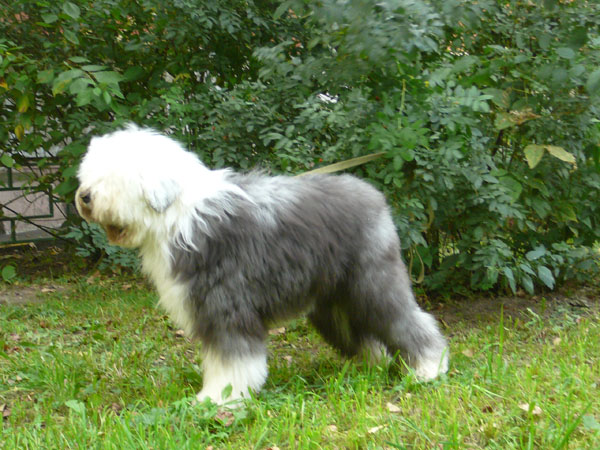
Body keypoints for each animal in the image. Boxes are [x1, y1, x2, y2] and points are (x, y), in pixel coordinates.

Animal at [75, 125, 449, 405]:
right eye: (90, 173)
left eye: (115, 177)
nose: (84, 197)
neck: (177, 216)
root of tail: (374, 197)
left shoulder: (227, 307)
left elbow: (231, 361)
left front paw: (218, 399)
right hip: (335, 300)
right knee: (363, 333)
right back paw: (371, 367)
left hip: (373, 282)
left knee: (409, 322)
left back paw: (429, 368)